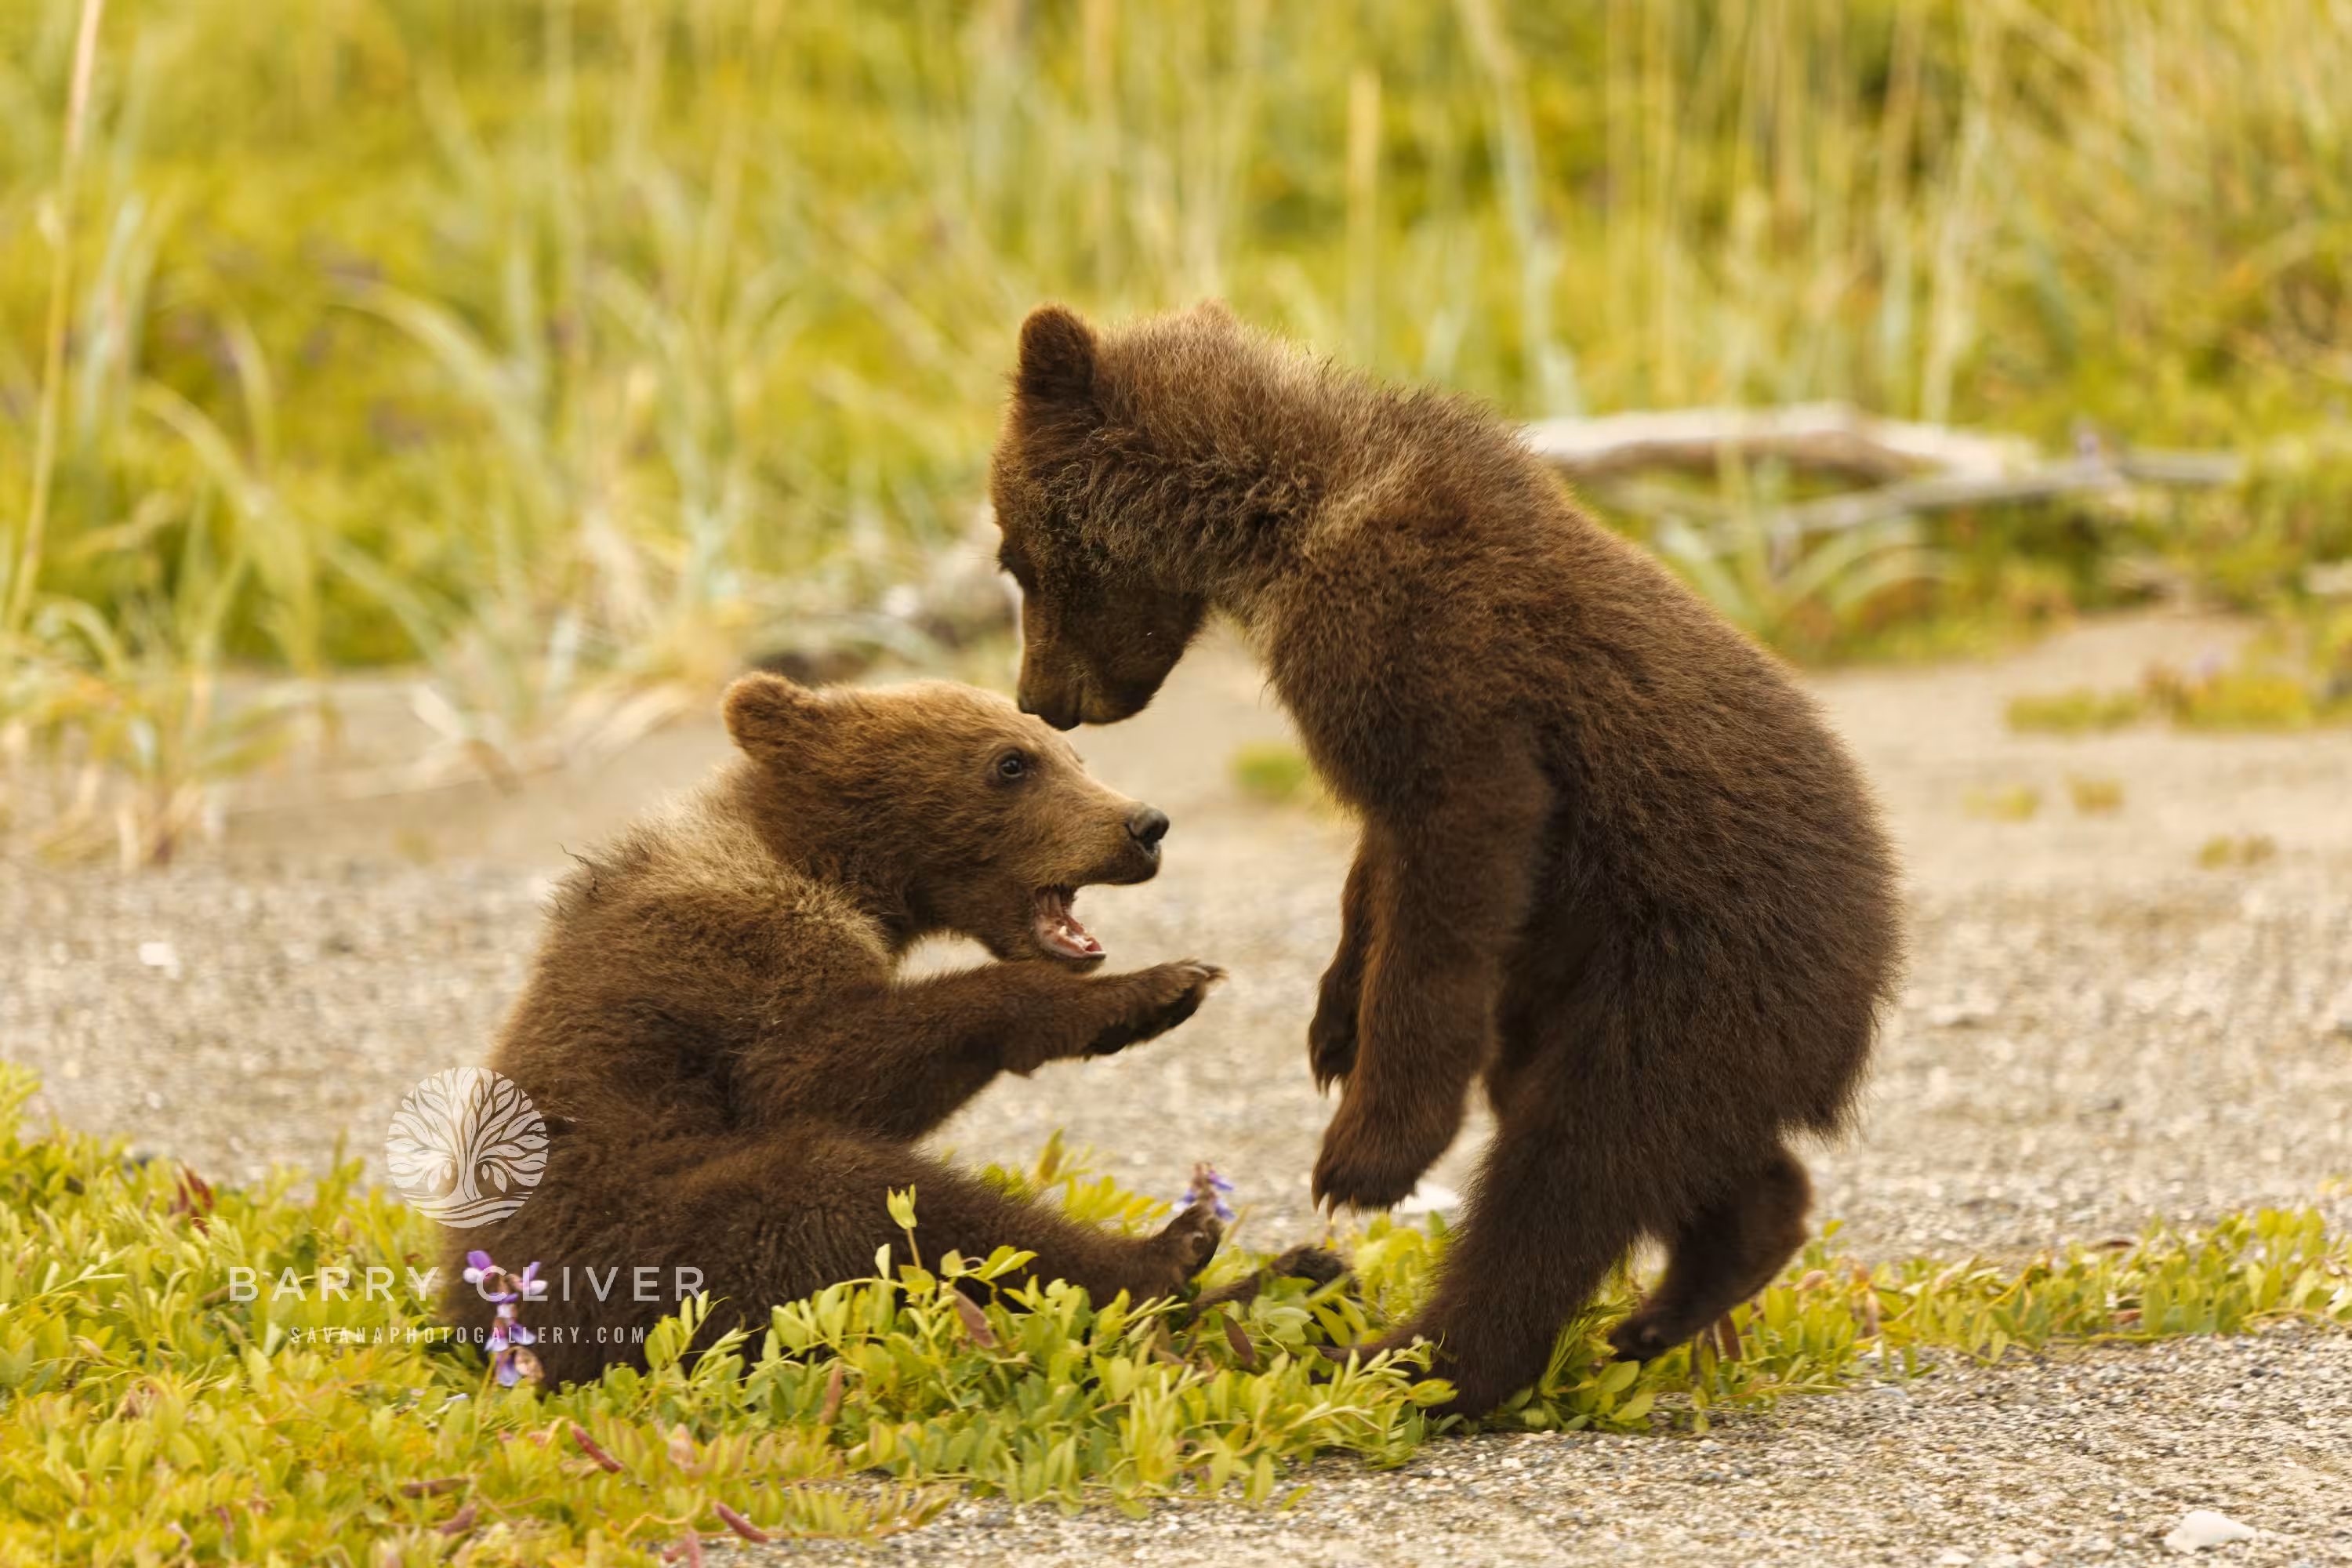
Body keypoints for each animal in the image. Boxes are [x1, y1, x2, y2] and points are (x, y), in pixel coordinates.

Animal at [442, 673, 1241, 1387]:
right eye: (1012, 762)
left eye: (1075, 756)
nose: (1144, 825)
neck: (824, 865)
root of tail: (478, 1327)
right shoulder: (731, 960)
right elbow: (808, 1078)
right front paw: (1152, 988)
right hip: (639, 1244)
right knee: (856, 1198)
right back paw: (1168, 1248)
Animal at [986, 302, 1902, 1418]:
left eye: (1016, 557)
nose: (1039, 697)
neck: (1281, 526)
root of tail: (1869, 981)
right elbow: (1375, 861)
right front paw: (1334, 1020)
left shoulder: (1430, 654)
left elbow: (1451, 858)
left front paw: (1366, 1151)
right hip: (1593, 983)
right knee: (1658, 1140)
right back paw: (1687, 1290)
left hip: (1695, 967)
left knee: (1573, 1162)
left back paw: (1422, 1359)